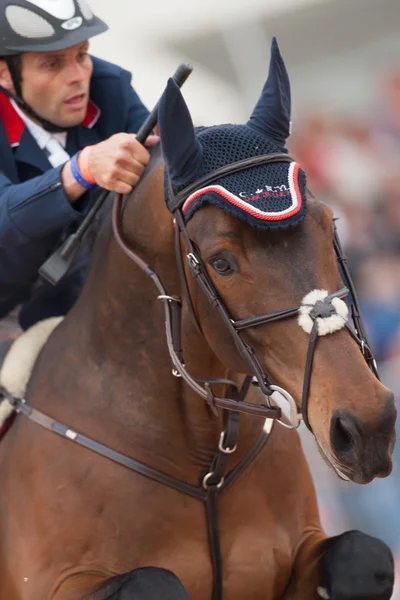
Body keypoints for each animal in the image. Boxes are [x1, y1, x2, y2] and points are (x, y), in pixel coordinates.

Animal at [0, 38, 396, 600]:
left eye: (328, 223)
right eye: (221, 262)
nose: (367, 426)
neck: (204, 454)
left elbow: (366, 556)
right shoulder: (60, 581)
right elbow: (155, 581)